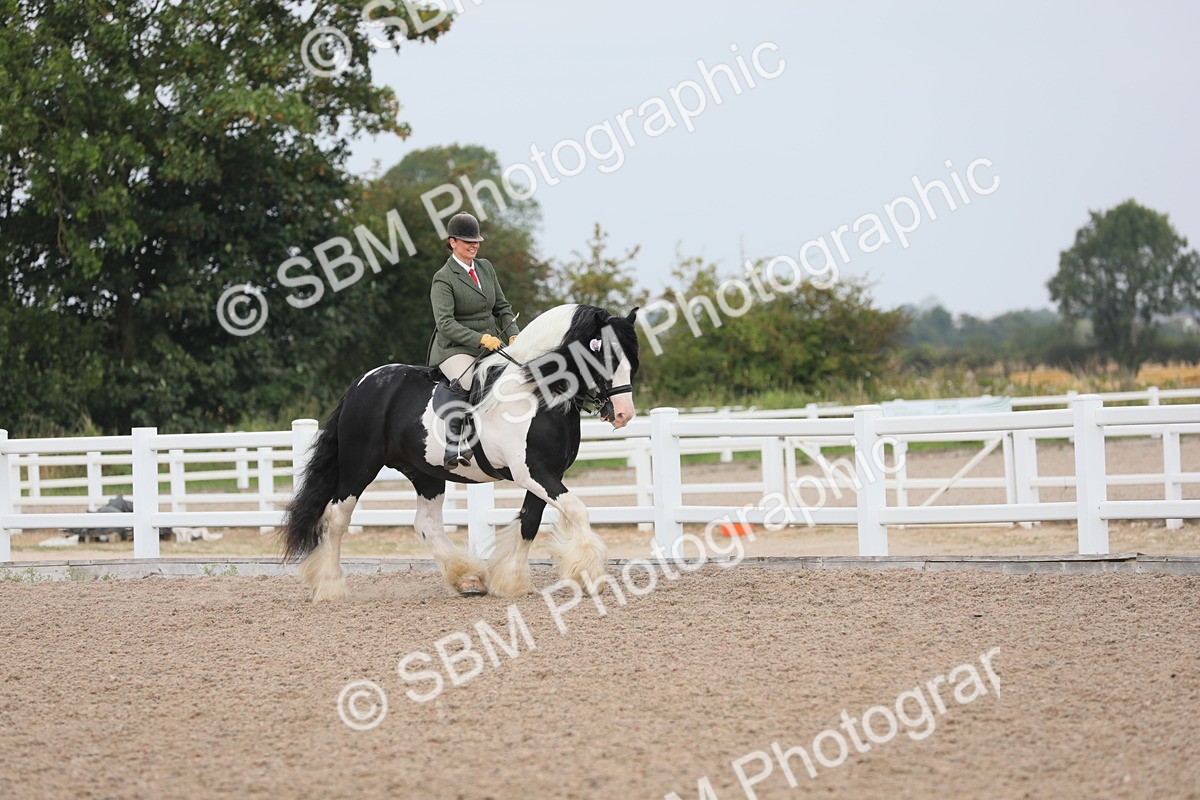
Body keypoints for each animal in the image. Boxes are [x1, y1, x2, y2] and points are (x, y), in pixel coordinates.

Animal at [278, 303, 640, 602]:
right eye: (604, 356)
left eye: (631, 362)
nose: (623, 414)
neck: (534, 392)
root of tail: (360, 384)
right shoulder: (533, 472)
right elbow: (576, 510)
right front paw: (589, 575)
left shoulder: (547, 473)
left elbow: (529, 522)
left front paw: (512, 582)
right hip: (359, 467)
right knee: (336, 519)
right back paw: (330, 587)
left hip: (424, 473)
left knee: (426, 524)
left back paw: (466, 578)